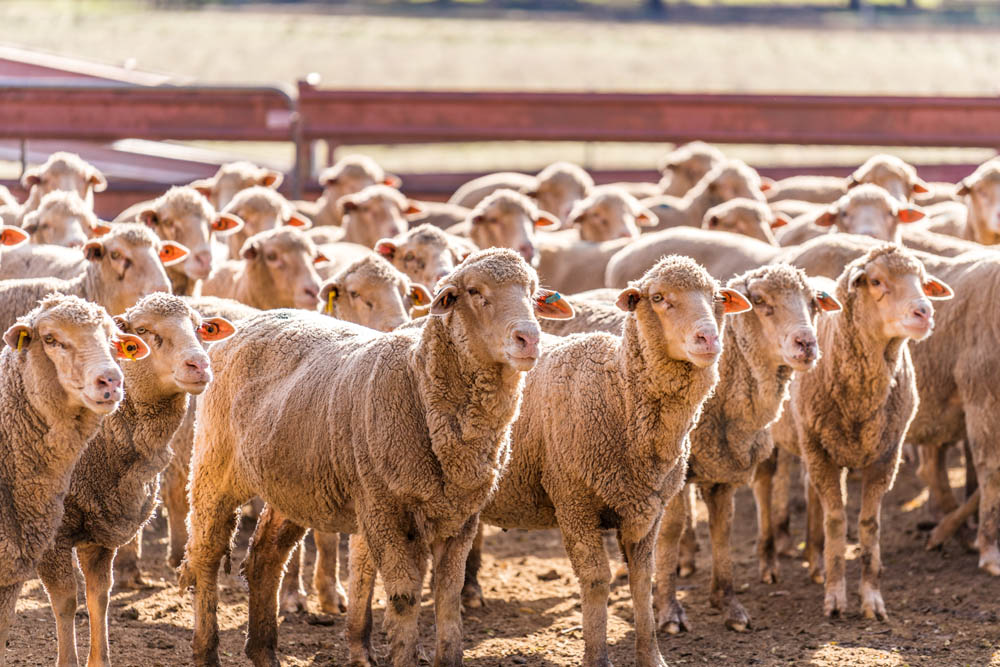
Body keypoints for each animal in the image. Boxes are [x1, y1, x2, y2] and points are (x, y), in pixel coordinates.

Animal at [35, 293, 234, 667]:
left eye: (199, 327)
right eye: (142, 330)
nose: (199, 365)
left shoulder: (99, 531)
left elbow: (99, 597)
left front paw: (100, 660)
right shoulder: (54, 535)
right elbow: (66, 601)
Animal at [179, 248, 572, 666]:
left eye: (533, 294)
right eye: (473, 291)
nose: (529, 338)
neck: (419, 383)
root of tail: (253, 319)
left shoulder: (460, 517)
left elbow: (448, 602)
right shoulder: (384, 510)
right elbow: (403, 597)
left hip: (292, 482)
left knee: (265, 556)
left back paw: (264, 652)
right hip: (214, 466)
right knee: (205, 555)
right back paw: (206, 651)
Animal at [464, 255, 748, 666]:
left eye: (717, 298)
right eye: (658, 297)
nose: (709, 339)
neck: (619, 394)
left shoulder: (646, 510)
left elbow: (642, 581)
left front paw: (651, 656)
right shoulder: (574, 502)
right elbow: (598, 579)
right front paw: (597, 656)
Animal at [653, 264, 840, 635]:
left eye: (813, 303)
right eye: (761, 301)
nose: (807, 344)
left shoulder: (722, 471)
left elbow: (722, 531)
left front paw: (729, 605)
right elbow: (671, 529)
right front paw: (668, 611)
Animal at [779, 244, 952, 619]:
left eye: (923, 281)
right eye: (876, 281)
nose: (924, 312)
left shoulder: (886, 456)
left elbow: (869, 525)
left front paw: (872, 598)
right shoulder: (823, 454)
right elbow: (835, 521)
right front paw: (835, 597)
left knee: (810, 493)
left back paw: (815, 561)